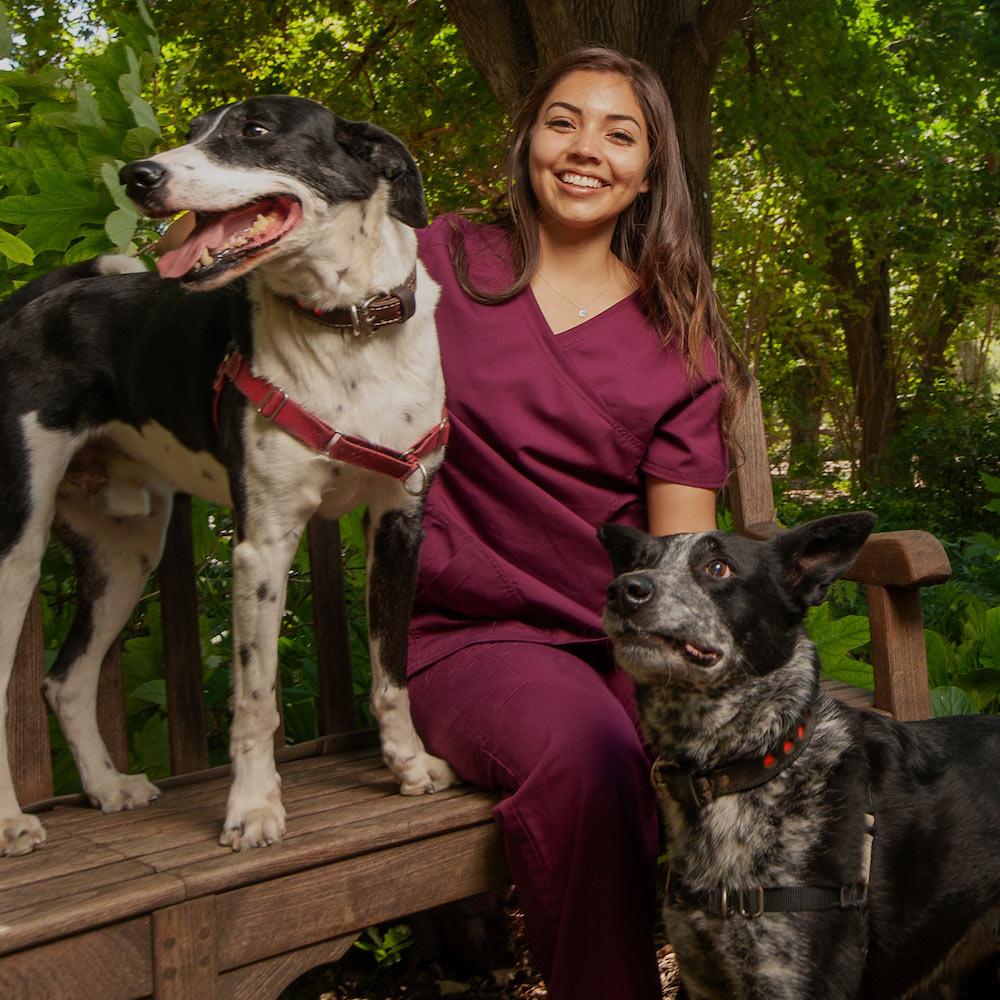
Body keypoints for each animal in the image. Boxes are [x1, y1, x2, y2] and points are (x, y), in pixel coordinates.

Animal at [0, 97, 458, 856]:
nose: (138, 176)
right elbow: (254, 697)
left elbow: (392, 670)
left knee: (66, 680)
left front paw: (410, 766)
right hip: (16, 549)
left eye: (256, 131)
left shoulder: (399, 521)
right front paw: (253, 808)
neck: (348, 331)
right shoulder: (263, 545)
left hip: (126, 553)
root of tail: (32, 304)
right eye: (192, 132)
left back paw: (108, 787)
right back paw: (12, 821)